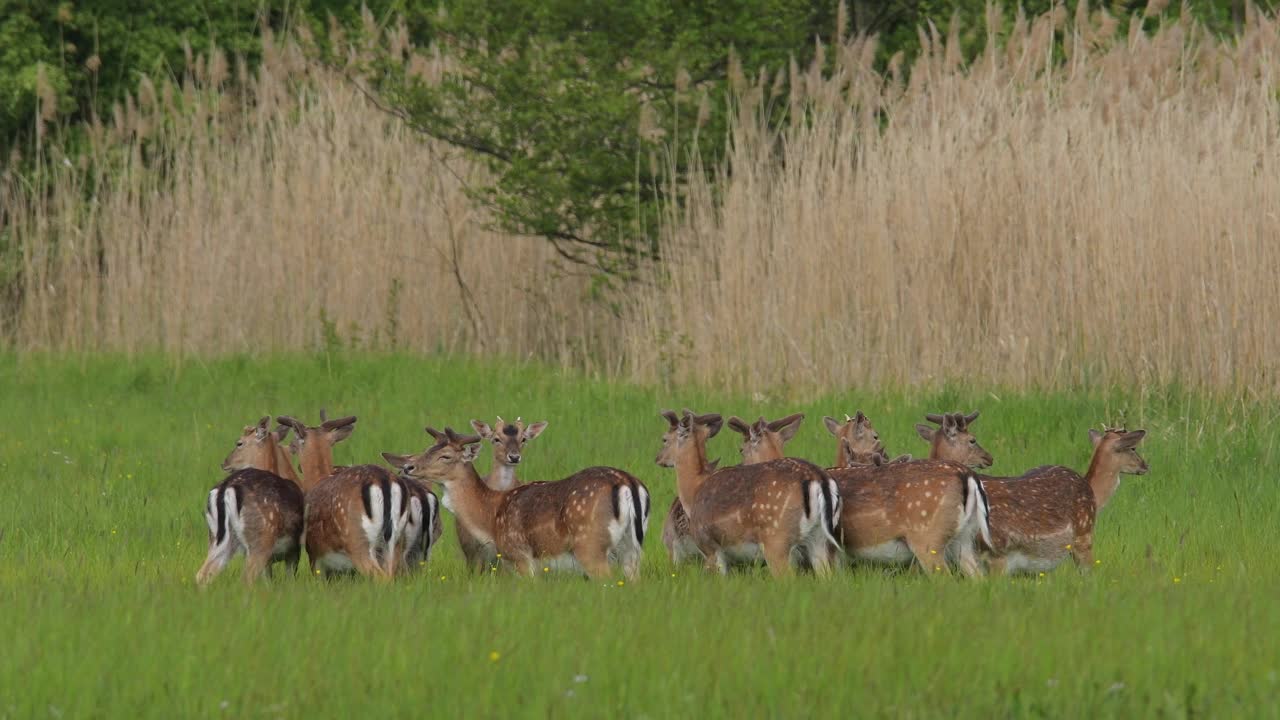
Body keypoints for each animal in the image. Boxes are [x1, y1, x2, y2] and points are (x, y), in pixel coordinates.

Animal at [194, 415, 304, 584]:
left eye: (239, 443)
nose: (224, 463)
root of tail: (226, 488)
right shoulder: (294, 548)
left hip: (217, 538)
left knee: (203, 574)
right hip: (261, 538)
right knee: (246, 578)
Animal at [660, 407, 839, 573]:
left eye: (664, 439)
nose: (658, 458)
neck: (694, 491)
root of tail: (817, 479)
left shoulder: (709, 547)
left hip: (777, 539)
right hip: (819, 539)